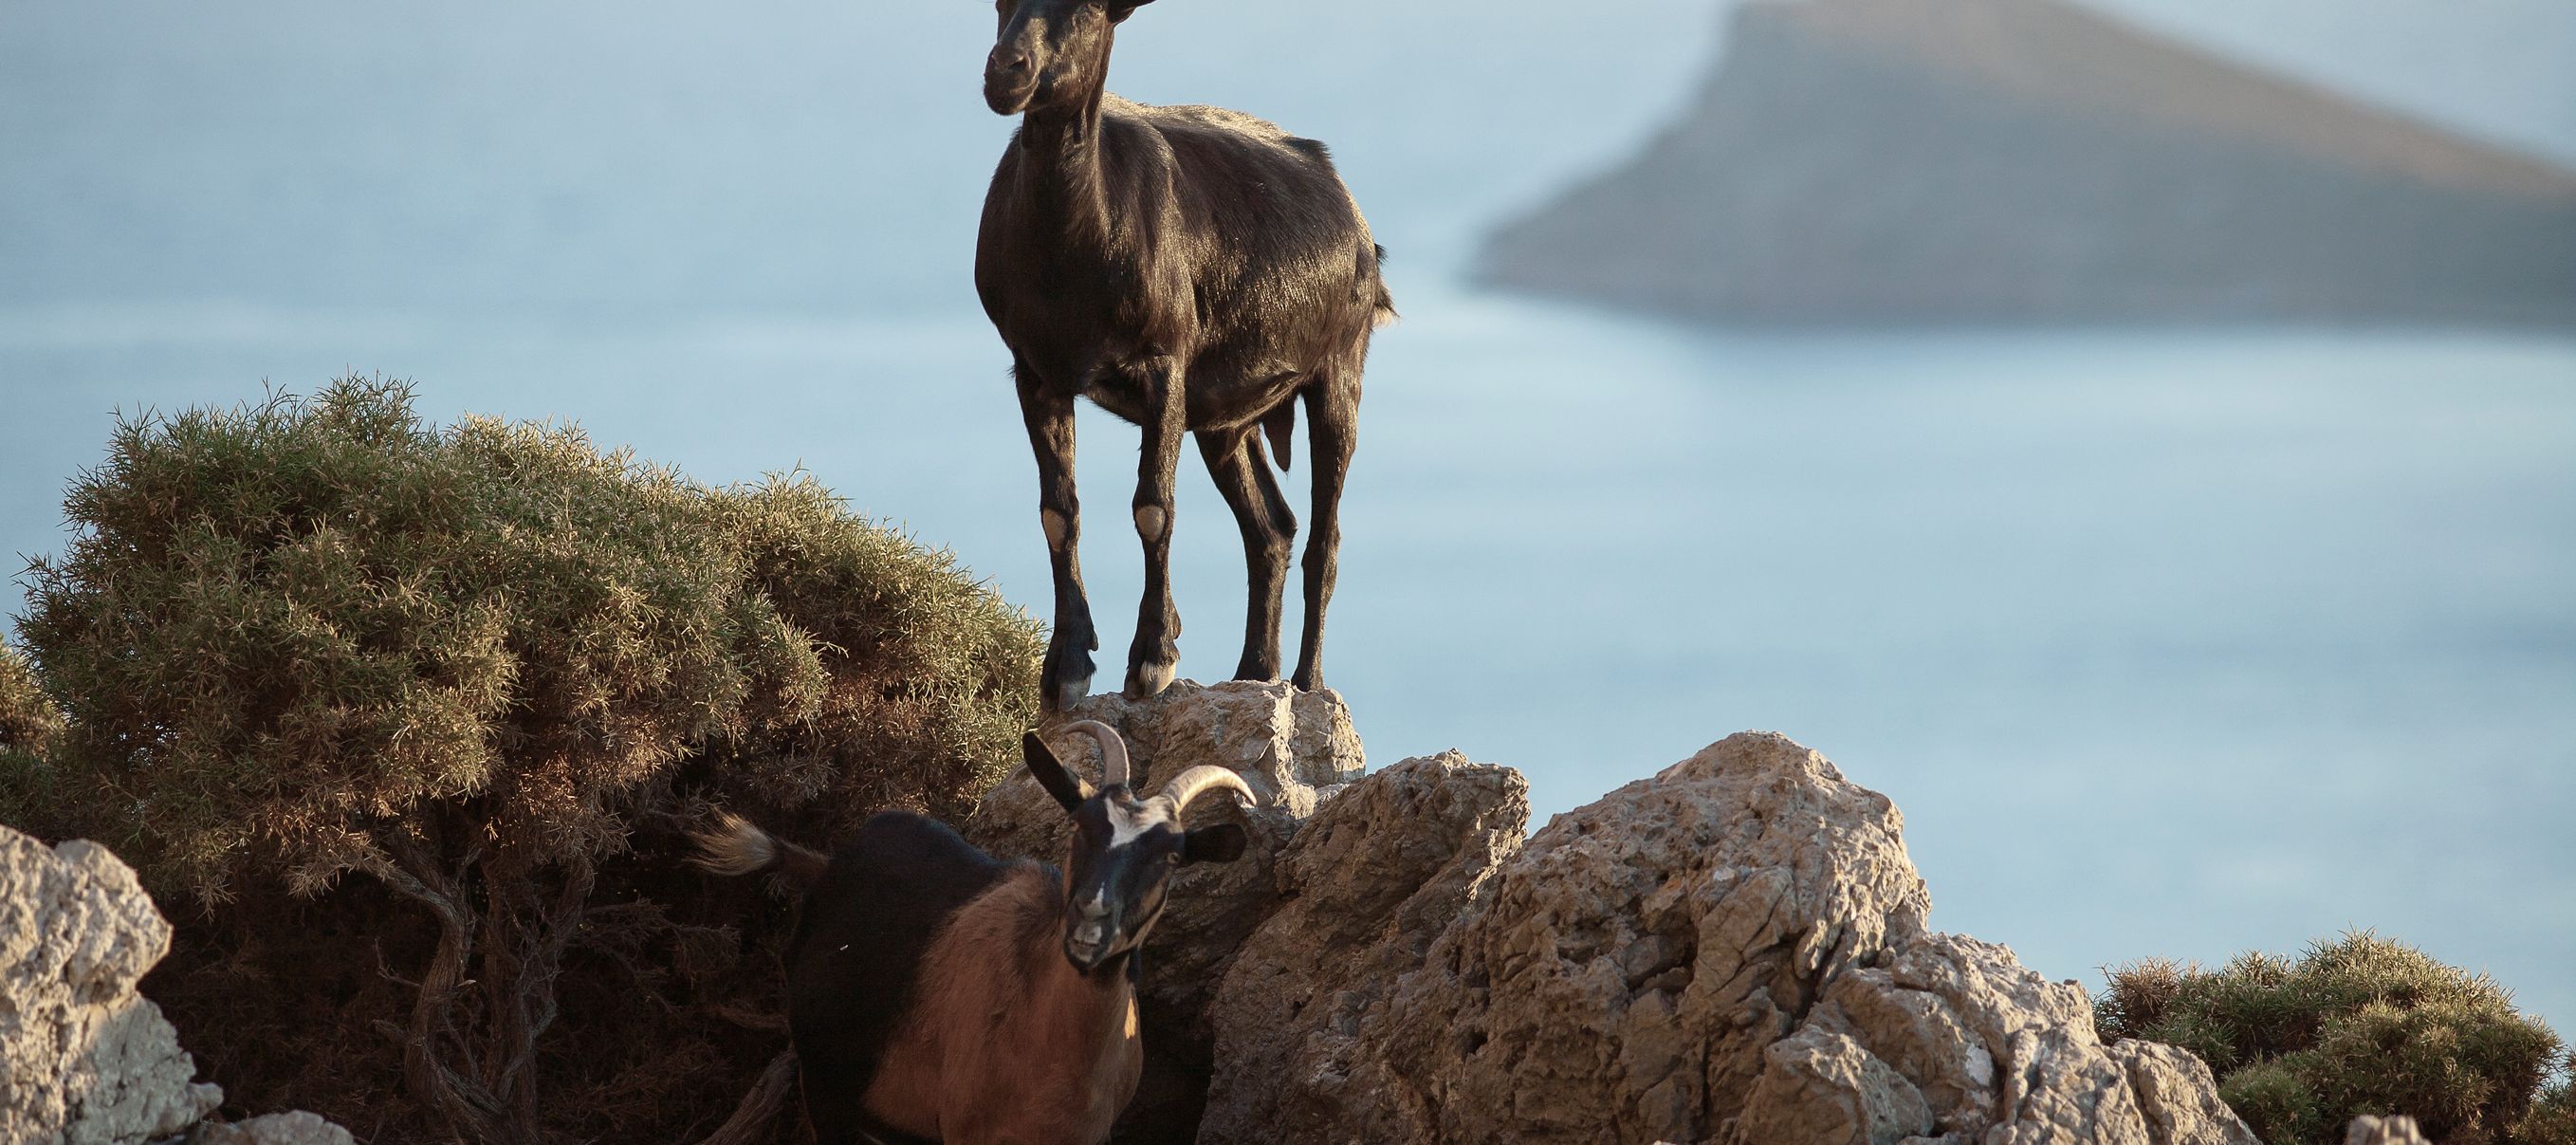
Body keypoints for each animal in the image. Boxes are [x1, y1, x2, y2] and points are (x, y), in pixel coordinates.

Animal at [691, 720, 1253, 1144]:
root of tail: (828, 865)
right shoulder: (967, 1132)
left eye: (1172, 857)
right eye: (1079, 826)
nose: (1090, 922)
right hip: (824, 1089)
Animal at [975, 0, 1395, 711]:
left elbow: (1153, 506)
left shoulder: (1164, 364)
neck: (1072, 253)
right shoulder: (1036, 370)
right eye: (1000, 4)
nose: (1007, 71)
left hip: (1338, 370)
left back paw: (1306, 684)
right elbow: (1059, 512)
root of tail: (1358, 222)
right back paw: (1253, 671)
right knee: (1271, 529)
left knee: (1324, 538)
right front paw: (1066, 668)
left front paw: (1151, 659)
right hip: (1226, 419)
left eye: (1084, 10)